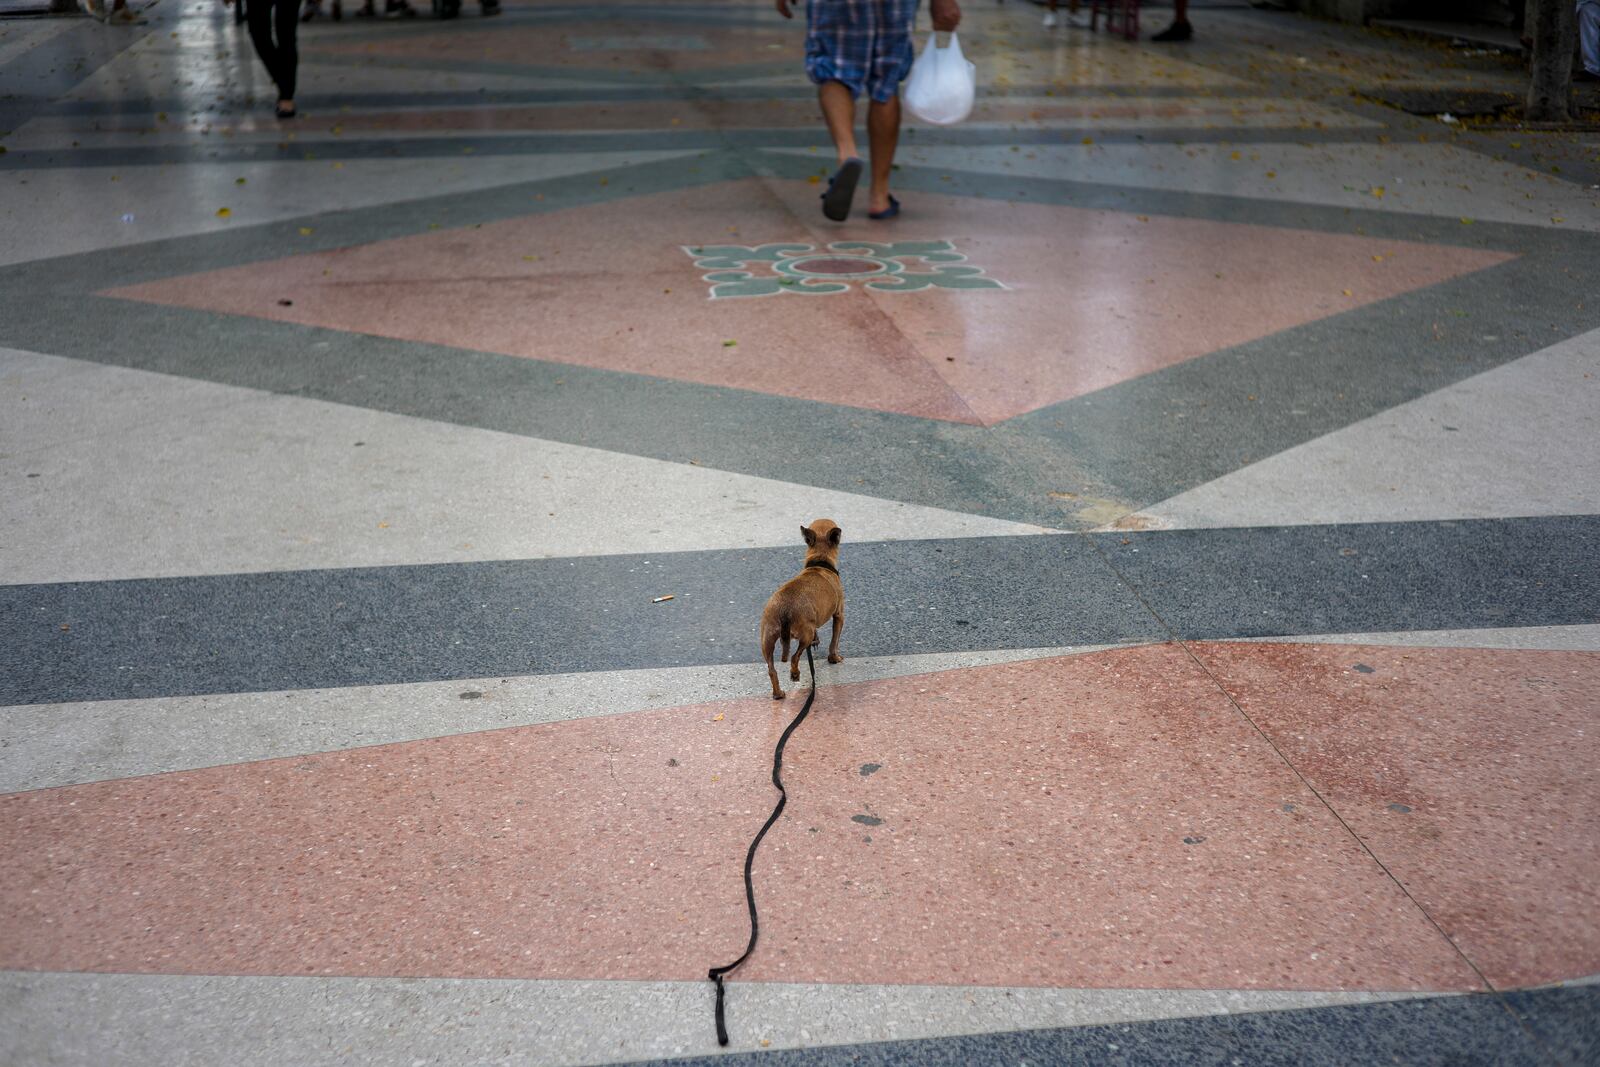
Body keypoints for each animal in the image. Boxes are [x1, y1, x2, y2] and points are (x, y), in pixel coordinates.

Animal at [758, 518, 844, 700]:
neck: (820, 562)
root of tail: (785, 609)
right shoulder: (839, 616)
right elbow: (834, 641)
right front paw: (834, 658)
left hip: (767, 639)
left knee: (772, 670)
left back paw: (778, 694)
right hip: (804, 634)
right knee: (793, 657)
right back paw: (795, 674)